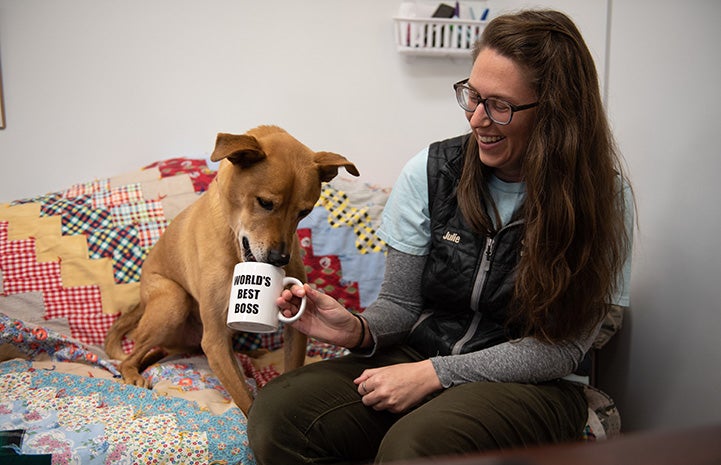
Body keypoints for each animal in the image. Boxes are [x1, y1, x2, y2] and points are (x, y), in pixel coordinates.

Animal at [103, 125, 358, 416]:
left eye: (304, 212)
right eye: (265, 202)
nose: (280, 259)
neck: (234, 239)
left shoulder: (294, 330)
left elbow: (287, 370)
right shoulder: (214, 340)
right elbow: (245, 397)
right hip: (172, 300)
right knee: (130, 356)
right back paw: (132, 372)